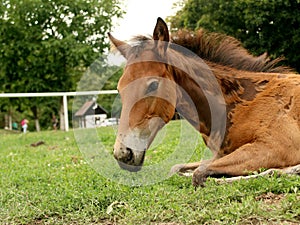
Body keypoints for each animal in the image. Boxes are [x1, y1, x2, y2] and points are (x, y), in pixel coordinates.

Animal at [108, 17, 300, 186]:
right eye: (119, 89)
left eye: (153, 85)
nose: (122, 154)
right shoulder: (218, 155)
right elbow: (178, 167)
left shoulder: (276, 147)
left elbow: (199, 174)